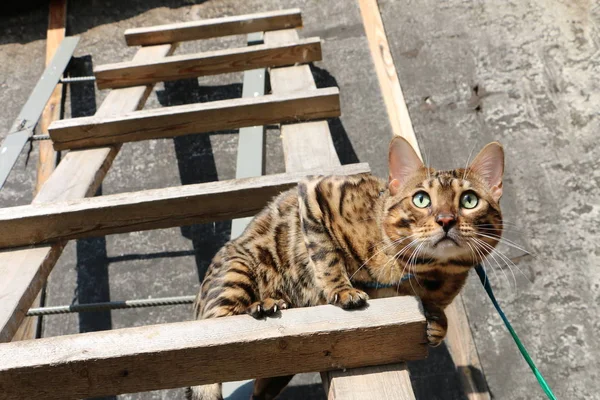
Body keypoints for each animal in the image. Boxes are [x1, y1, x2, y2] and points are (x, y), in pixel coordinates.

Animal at [188, 137, 506, 400]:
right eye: (421, 199)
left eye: (469, 200)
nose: (445, 219)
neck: (419, 271)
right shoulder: (317, 191)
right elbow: (324, 253)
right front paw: (342, 290)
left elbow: (439, 312)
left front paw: (437, 324)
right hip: (237, 272)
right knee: (219, 323)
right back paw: (263, 304)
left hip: (277, 374)